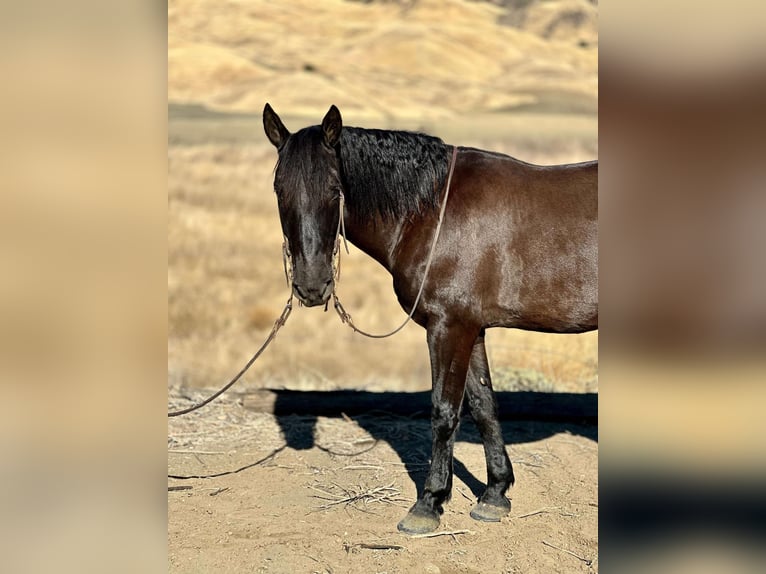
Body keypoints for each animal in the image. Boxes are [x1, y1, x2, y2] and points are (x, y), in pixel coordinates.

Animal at [264, 103, 600, 536]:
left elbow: (443, 412)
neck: (432, 212)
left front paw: (429, 502)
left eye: (334, 190)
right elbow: (483, 405)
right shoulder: (473, 330)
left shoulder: (449, 328)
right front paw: (495, 494)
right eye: (279, 190)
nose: (311, 286)